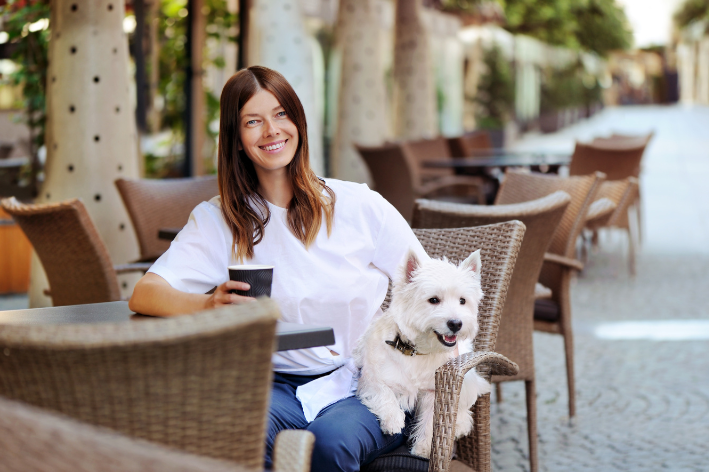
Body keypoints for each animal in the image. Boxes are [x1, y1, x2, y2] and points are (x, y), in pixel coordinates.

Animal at [352, 251, 490, 458]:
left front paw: (424, 448)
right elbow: (383, 391)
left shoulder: (434, 390)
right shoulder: (371, 376)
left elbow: (431, 420)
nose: (456, 323)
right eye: (433, 300)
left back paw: (461, 425)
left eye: (462, 301)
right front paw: (393, 419)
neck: (417, 352)